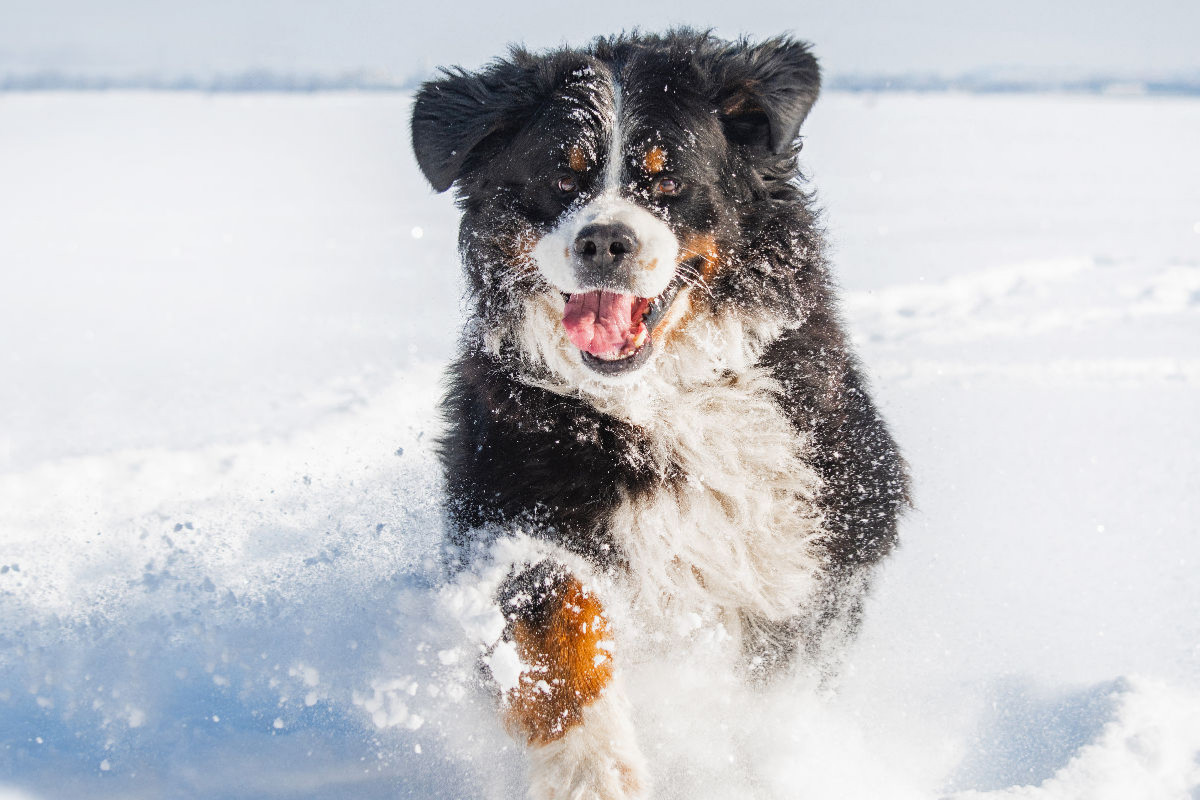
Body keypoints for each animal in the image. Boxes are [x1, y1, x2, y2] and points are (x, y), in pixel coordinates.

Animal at [412, 29, 907, 800]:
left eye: (668, 180)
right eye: (562, 179)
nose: (604, 242)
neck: (661, 399)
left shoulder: (814, 547)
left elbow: (769, 693)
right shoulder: (508, 505)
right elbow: (556, 621)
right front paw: (591, 769)